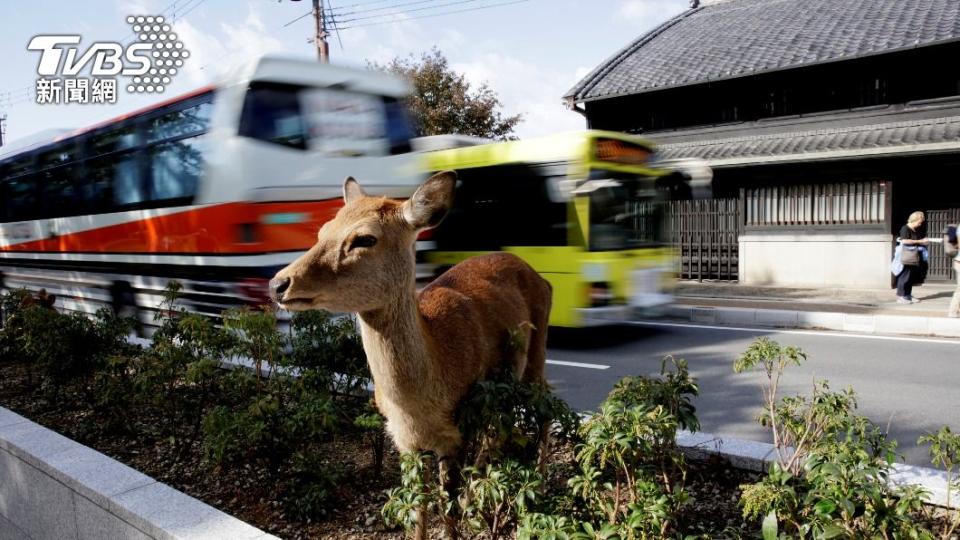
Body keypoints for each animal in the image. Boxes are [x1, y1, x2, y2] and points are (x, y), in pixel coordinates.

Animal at [270, 171, 552, 536]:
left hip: (538, 349)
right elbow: (418, 509)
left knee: (546, 405)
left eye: (365, 239)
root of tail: (541, 277)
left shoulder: (456, 432)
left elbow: (447, 511)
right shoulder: (404, 441)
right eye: (322, 231)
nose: (278, 283)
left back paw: (539, 482)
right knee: (498, 431)